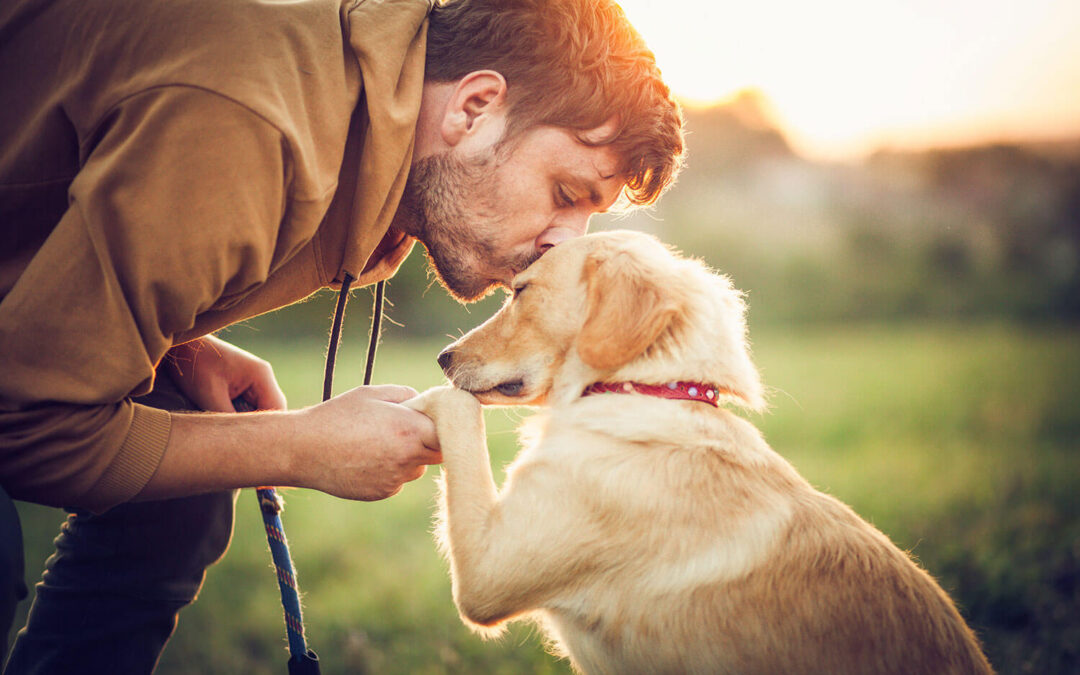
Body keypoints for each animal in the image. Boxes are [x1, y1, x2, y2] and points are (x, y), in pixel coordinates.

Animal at [406, 228, 993, 669]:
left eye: (522, 292)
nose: (442, 357)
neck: (644, 389)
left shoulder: (487, 574)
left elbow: (458, 411)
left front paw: (419, 398)